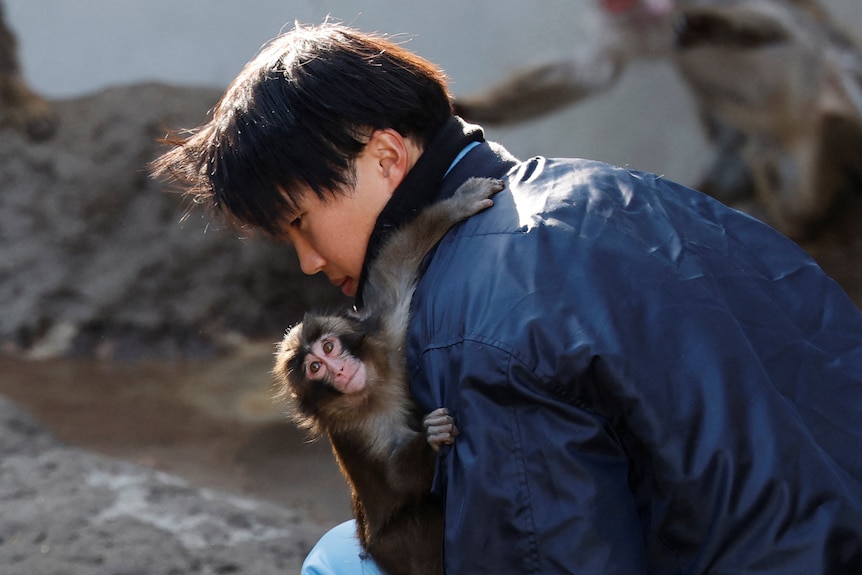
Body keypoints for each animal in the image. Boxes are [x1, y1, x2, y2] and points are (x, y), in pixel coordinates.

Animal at [273, 177, 504, 575]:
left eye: (329, 348)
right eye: (315, 368)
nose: (340, 370)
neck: (374, 388)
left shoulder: (387, 338)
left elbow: (396, 264)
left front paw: (456, 207)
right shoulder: (356, 427)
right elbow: (396, 478)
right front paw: (432, 439)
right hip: (391, 547)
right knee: (418, 519)